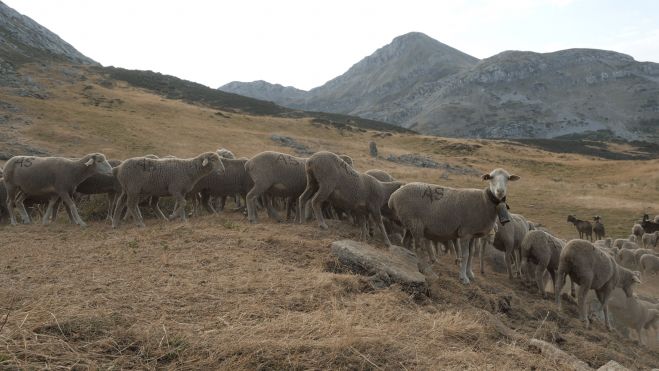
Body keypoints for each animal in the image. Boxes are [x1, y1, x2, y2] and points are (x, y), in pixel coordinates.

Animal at [386, 169, 520, 284]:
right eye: (491, 178)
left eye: (508, 179)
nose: (500, 191)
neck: (484, 201)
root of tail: (393, 196)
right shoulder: (465, 232)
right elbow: (465, 255)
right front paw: (464, 278)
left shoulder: (473, 234)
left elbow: (471, 254)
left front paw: (470, 273)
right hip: (415, 224)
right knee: (418, 247)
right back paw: (424, 267)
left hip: (410, 224)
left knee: (406, 241)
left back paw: (410, 258)